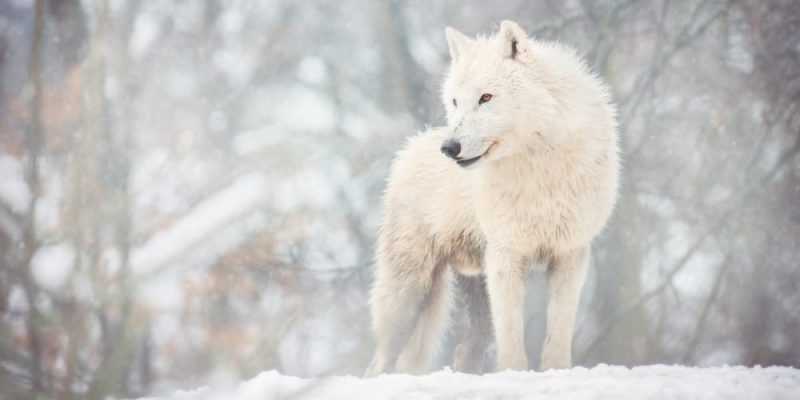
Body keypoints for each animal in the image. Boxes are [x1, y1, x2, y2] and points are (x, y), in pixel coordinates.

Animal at [366, 20, 620, 376]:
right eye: (455, 101)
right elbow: (511, 336)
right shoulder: (506, 254)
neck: (538, 166)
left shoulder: (570, 253)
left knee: (464, 351)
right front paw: (515, 374)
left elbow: (557, 333)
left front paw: (556, 372)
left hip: (470, 287)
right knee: (380, 360)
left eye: (486, 97)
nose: (449, 148)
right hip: (409, 290)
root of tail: (412, 145)